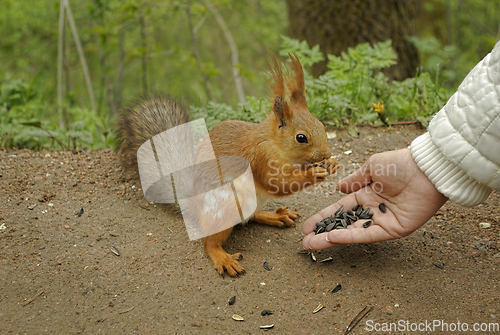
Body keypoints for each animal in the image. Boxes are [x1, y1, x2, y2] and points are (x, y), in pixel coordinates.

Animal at [118, 53, 338, 276]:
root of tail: (194, 206)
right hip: (225, 207)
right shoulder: (261, 158)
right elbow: (277, 183)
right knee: (210, 242)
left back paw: (276, 216)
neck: (272, 142)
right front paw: (313, 173)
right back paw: (223, 258)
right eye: (301, 138)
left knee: (250, 217)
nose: (326, 153)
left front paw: (332, 164)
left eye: (321, 125)